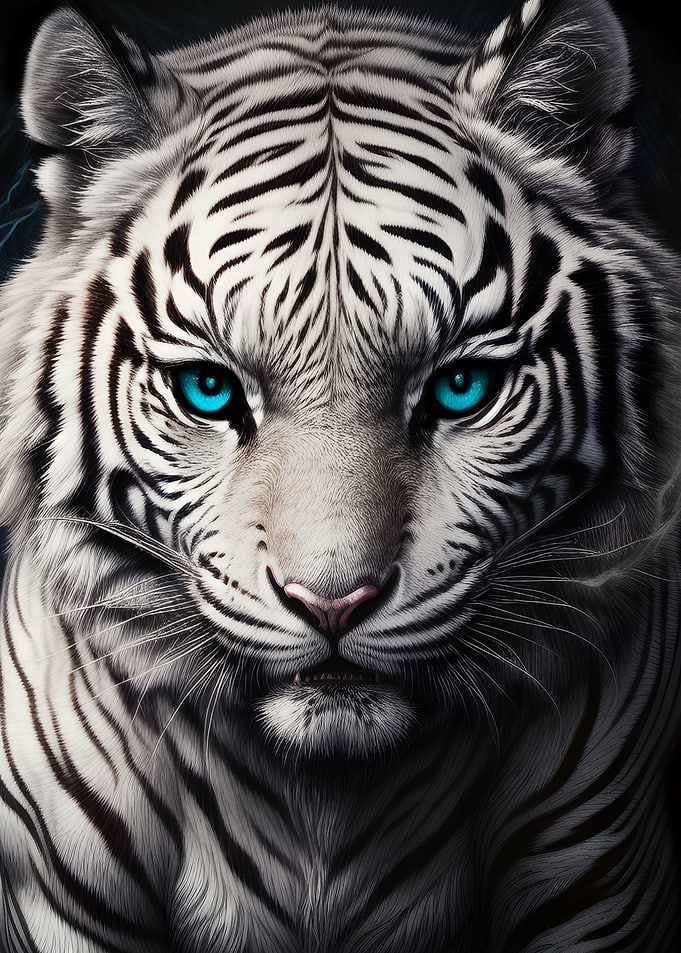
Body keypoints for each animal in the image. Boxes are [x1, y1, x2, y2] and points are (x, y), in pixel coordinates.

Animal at [1, 0, 681, 949]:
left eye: (460, 386)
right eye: (208, 389)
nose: (332, 603)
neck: (322, 797)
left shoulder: (599, 883)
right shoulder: (58, 896)